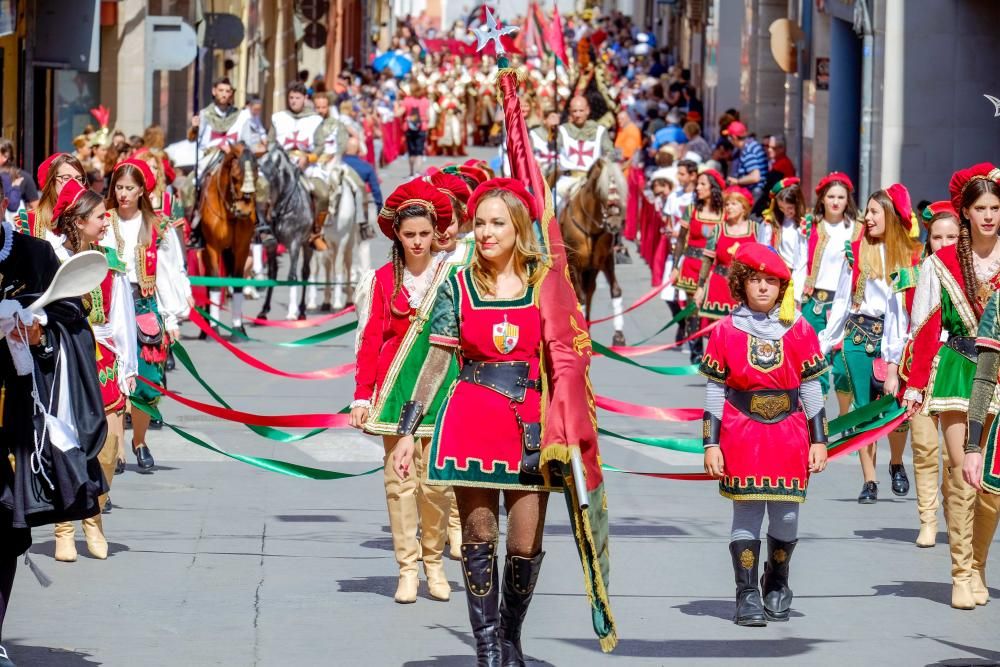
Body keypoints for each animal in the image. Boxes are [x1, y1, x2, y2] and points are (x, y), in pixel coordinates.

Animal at [198, 144, 258, 336]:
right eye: (235, 177)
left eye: (256, 175)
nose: (244, 211)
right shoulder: (212, 247)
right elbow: (214, 284)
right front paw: (214, 328)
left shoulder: (241, 249)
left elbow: (237, 283)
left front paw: (238, 329)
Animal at [304, 162, 372, 310]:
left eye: (338, 192)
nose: (327, 216)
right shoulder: (317, 243)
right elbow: (316, 268)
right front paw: (313, 302)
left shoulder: (342, 240)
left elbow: (339, 268)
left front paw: (337, 302)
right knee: (328, 266)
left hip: (349, 241)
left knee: (346, 263)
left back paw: (348, 299)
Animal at [556, 157, 624, 344]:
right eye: (602, 191)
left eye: (620, 190)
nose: (615, 224)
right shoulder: (574, 263)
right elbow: (580, 298)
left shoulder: (605, 260)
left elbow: (615, 290)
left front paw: (619, 335)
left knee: (590, 290)